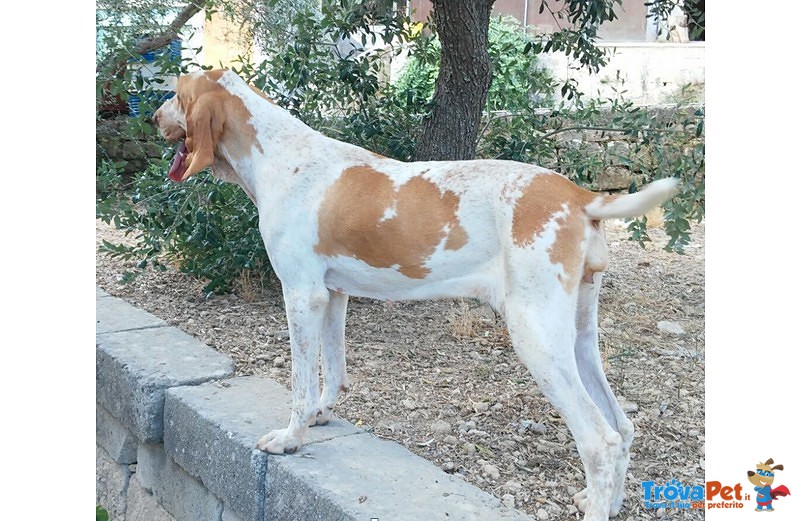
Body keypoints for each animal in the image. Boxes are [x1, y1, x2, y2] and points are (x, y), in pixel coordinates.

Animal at [155, 70, 676, 520]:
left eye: (176, 93)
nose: (153, 117)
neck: (280, 155)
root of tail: (577, 194)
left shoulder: (301, 295)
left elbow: (302, 383)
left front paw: (290, 438)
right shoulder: (332, 296)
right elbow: (333, 371)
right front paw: (324, 414)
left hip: (537, 339)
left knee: (599, 440)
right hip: (578, 339)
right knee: (622, 427)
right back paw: (607, 501)